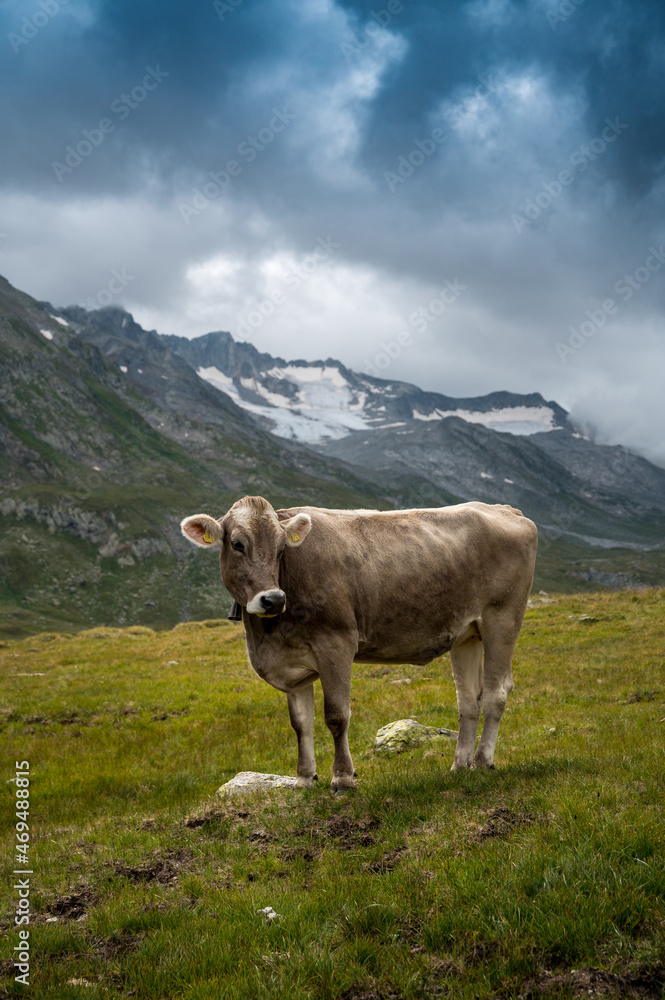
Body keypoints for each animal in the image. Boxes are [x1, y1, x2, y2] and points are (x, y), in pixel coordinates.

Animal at [181, 496, 537, 792]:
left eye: (282, 548)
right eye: (237, 544)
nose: (273, 599)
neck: (268, 636)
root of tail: (507, 510)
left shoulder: (335, 643)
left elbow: (336, 715)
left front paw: (343, 779)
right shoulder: (292, 662)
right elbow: (301, 724)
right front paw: (304, 780)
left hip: (502, 617)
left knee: (496, 692)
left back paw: (481, 761)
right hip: (467, 632)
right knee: (468, 699)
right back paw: (459, 765)